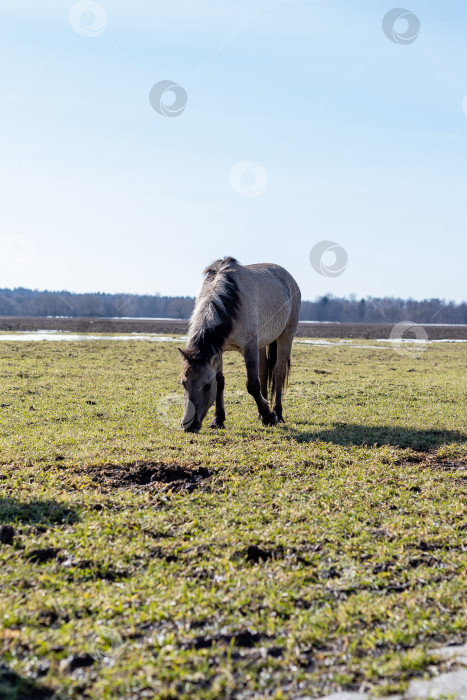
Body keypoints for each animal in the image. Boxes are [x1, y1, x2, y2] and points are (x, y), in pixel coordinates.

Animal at [178, 257, 301, 433]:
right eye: (183, 383)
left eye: (207, 386)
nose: (188, 426)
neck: (229, 301)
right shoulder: (219, 351)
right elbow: (221, 382)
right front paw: (218, 420)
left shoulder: (249, 348)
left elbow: (253, 385)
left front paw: (269, 417)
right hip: (262, 344)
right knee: (264, 371)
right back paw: (262, 412)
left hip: (286, 336)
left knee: (278, 372)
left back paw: (277, 413)